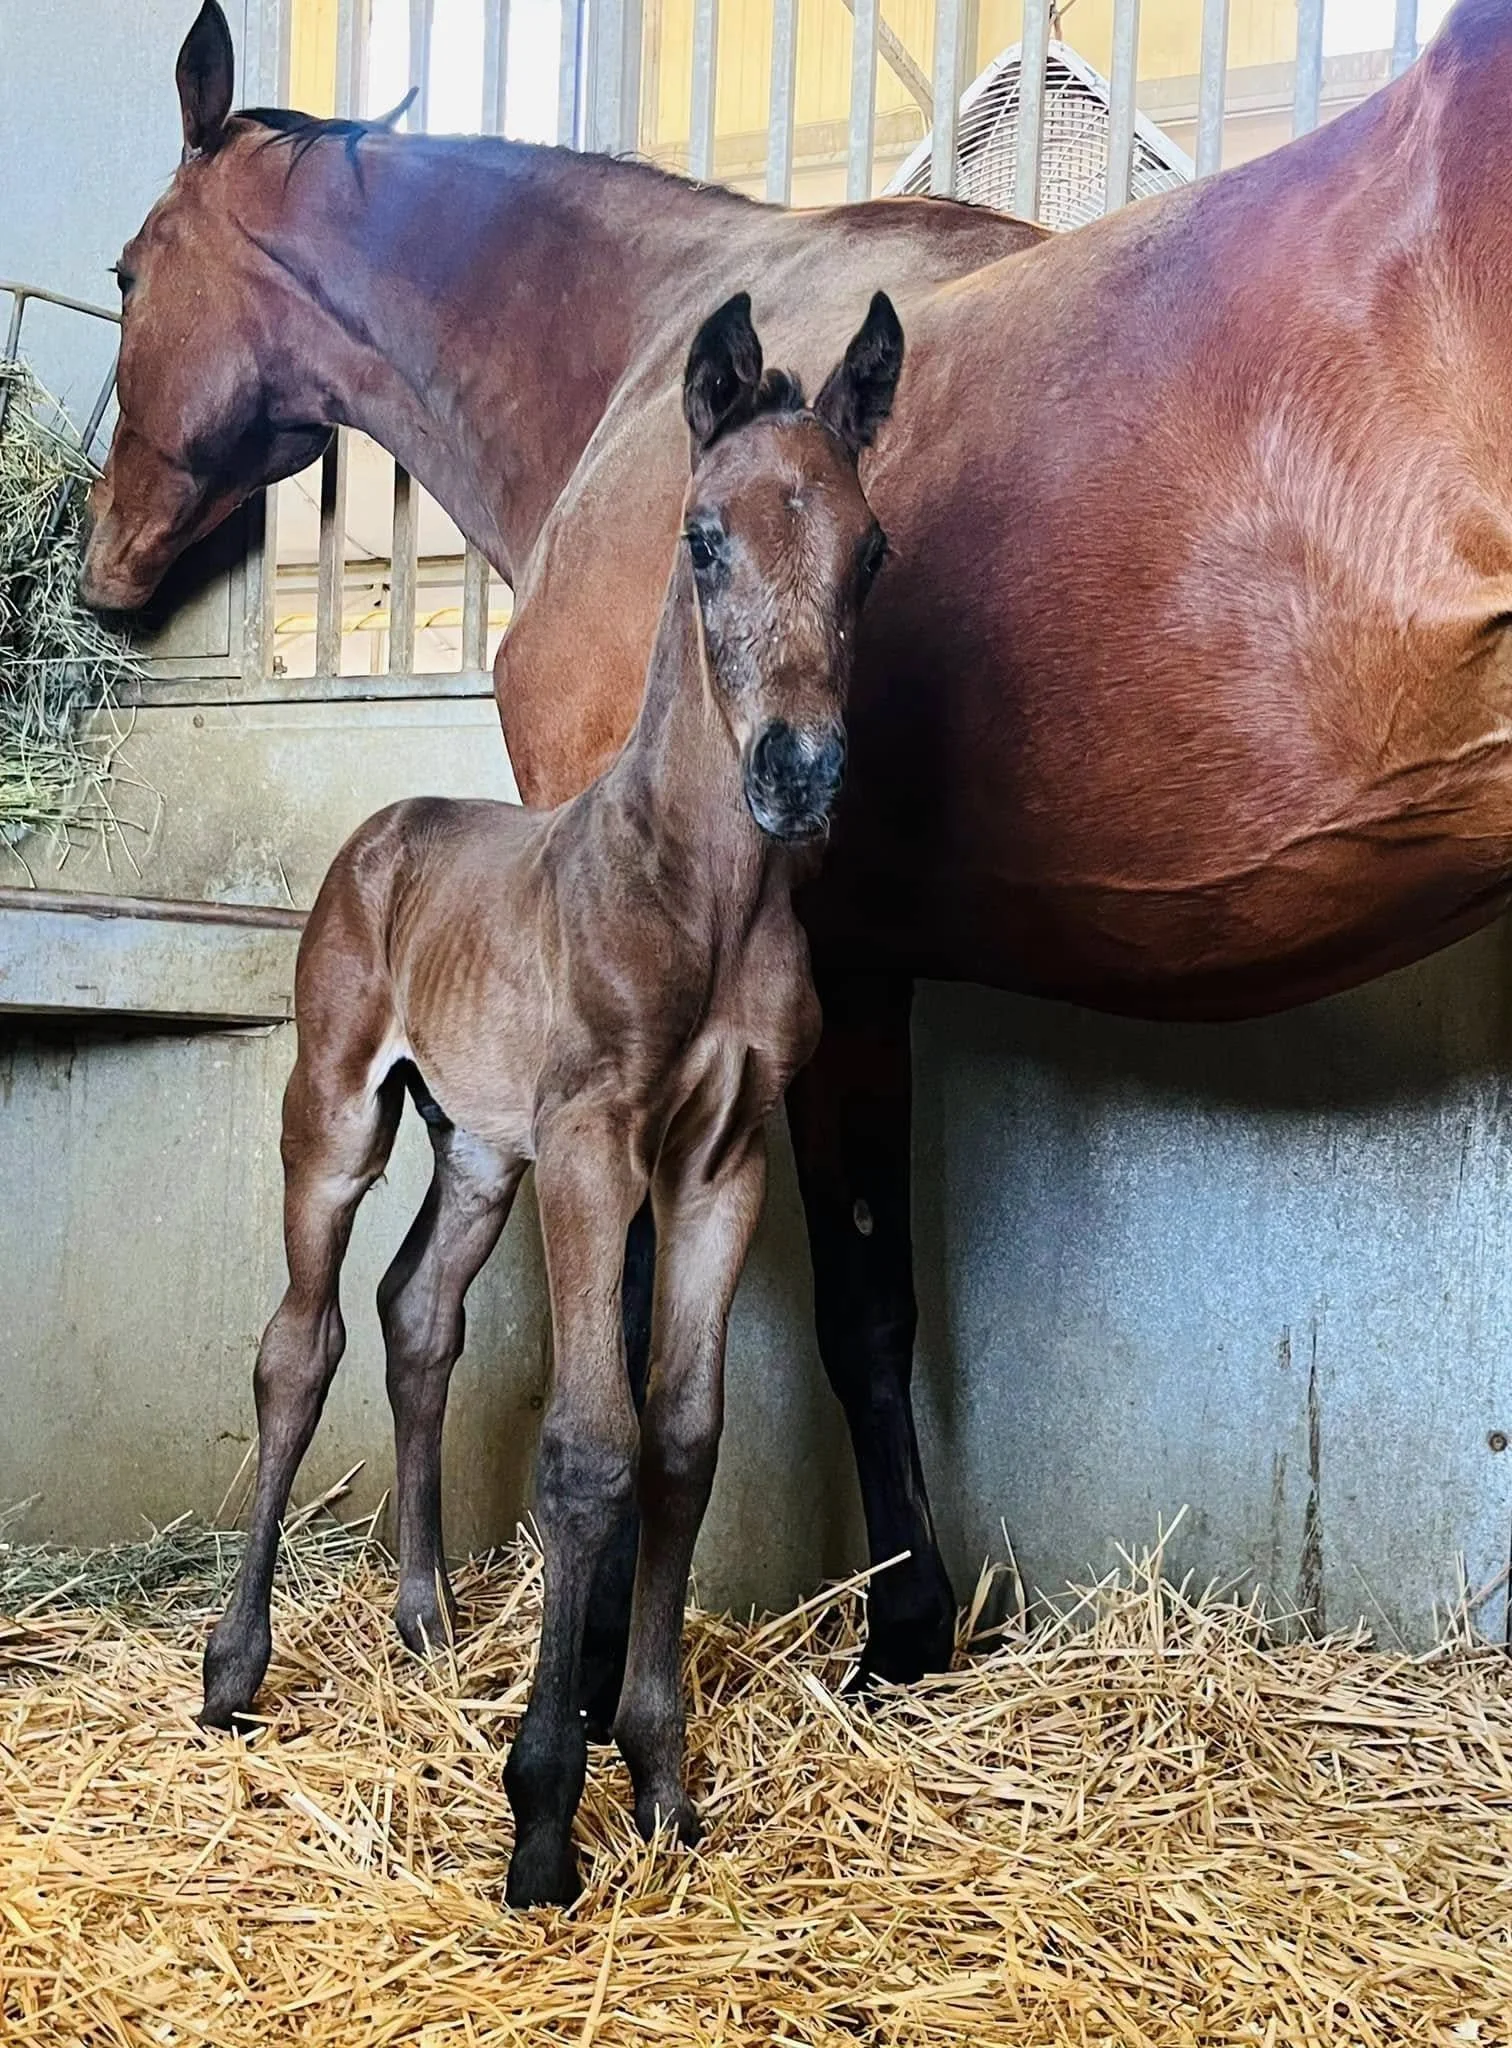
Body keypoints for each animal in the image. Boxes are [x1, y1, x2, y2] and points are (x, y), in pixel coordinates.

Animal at [83, 0, 1512, 1703]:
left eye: (124, 276)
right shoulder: (857, 980)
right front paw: (906, 1630)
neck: (633, 363)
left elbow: (680, 1314)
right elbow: (875, 1313)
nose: (101, 570)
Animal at [196, 289, 903, 1908]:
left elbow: (685, 1439)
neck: (702, 893)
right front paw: (538, 1816)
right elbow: (591, 1448)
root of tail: (387, 825)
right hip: (341, 1109)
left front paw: (660, 1783)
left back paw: (425, 1616)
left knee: (416, 1313)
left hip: (475, 1149)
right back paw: (233, 1670)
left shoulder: (719, 1162)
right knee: (298, 1345)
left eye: (872, 549)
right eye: (701, 536)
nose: (799, 772)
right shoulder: (596, 1145)